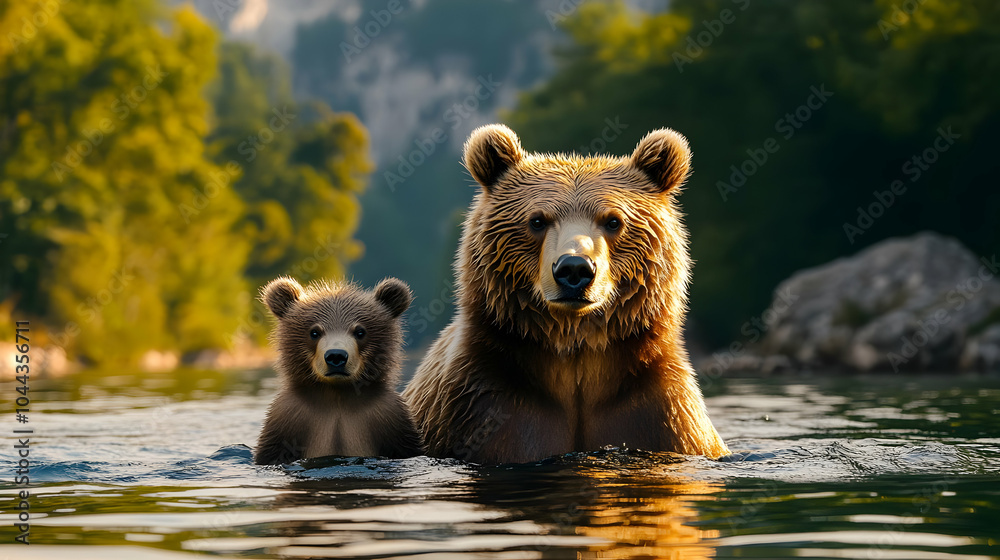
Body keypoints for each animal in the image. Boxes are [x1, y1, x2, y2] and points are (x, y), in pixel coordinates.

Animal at [254, 276, 424, 465]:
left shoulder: (389, 418)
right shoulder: (288, 420)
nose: (336, 356)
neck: (337, 395)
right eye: (314, 332)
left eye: (360, 331)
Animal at [402, 124, 729, 464]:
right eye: (537, 220)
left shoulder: (663, 416)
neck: (575, 356)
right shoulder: (480, 405)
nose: (574, 268)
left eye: (614, 221)